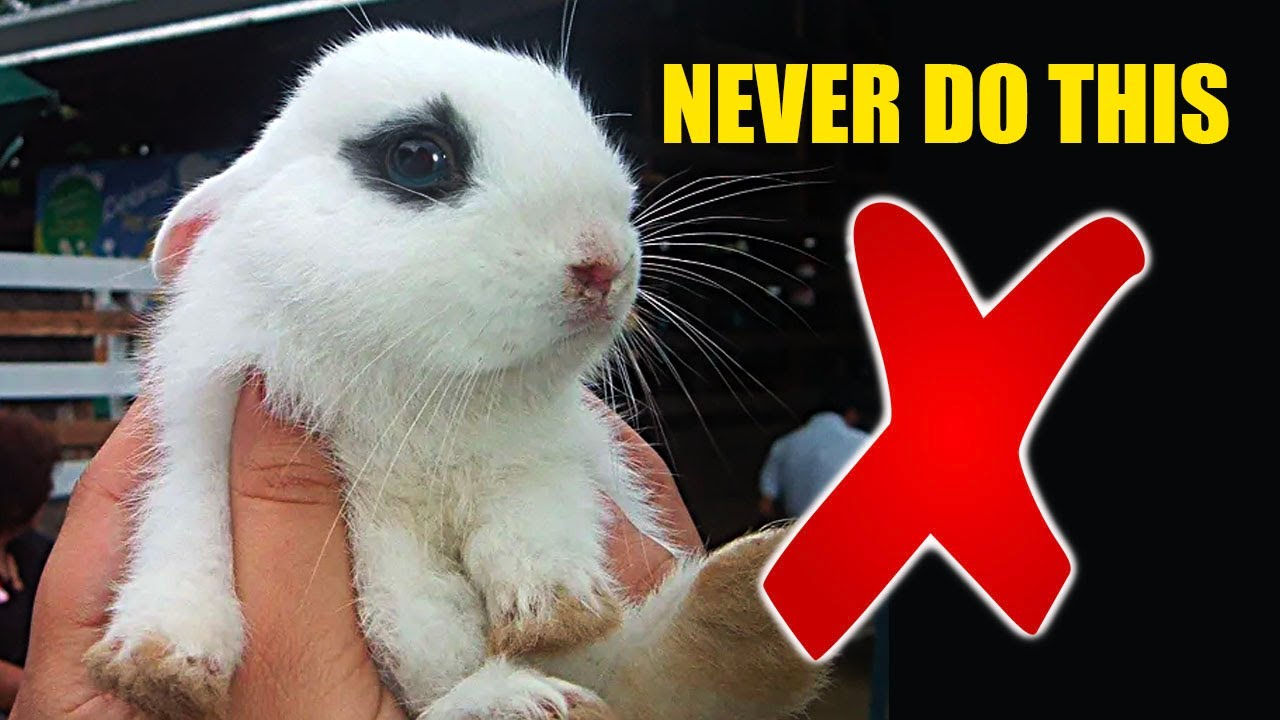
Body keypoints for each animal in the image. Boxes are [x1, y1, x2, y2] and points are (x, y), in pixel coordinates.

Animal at [84, 28, 827, 720]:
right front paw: (160, 667)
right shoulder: (199, 443)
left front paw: (559, 607)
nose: (605, 263)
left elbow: (538, 516)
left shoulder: (547, 452)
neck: (414, 391)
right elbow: (186, 535)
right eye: (417, 157)